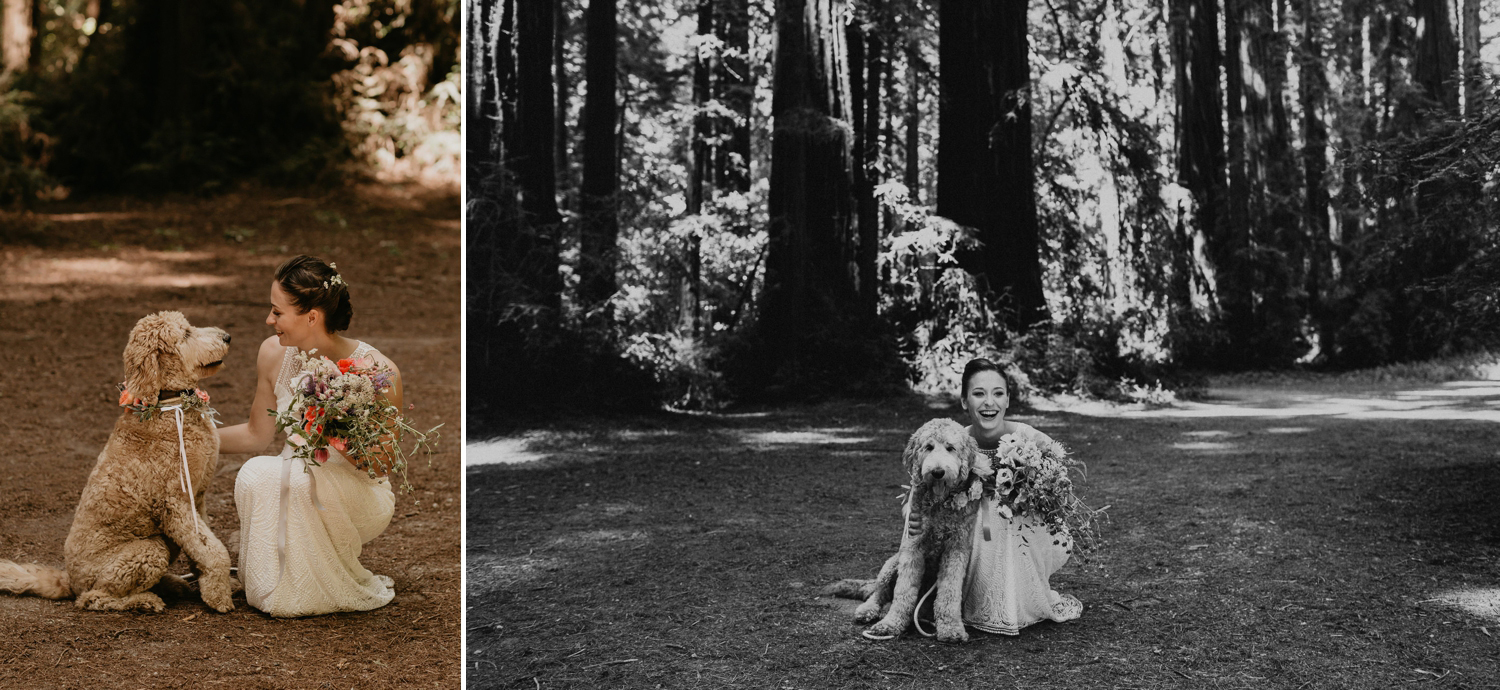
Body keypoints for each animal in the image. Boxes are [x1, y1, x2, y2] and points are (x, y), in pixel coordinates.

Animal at [0, 310, 237, 612]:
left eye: (190, 326)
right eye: (185, 334)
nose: (227, 337)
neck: (167, 405)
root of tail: (70, 581)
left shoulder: (199, 496)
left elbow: (203, 547)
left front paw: (217, 585)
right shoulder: (176, 504)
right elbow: (213, 550)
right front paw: (220, 597)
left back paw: (172, 584)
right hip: (148, 549)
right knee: (95, 597)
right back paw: (144, 600)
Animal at [840, 417, 990, 645]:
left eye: (950, 448)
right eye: (928, 447)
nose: (937, 472)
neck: (940, 504)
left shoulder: (956, 549)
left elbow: (949, 591)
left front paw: (951, 628)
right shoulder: (912, 547)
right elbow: (904, 590)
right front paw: (891, 624)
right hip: (892, 564)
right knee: (878, 593)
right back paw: (868, 610)